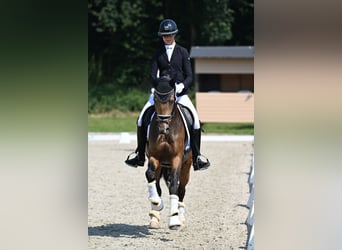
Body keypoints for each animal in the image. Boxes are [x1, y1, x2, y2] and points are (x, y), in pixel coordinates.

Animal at [144, 76, 192, 230]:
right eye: (155, 99)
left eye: (171, 100)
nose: (162, 129)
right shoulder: (154, 157)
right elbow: (150, 175)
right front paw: (157, 203)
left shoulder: (177, 159)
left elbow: (174, 186)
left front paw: (174, 220)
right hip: (161, 165)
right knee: (157, 185)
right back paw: (154, 217)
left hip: (186, 165)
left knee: (181, 189)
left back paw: (180, 217)